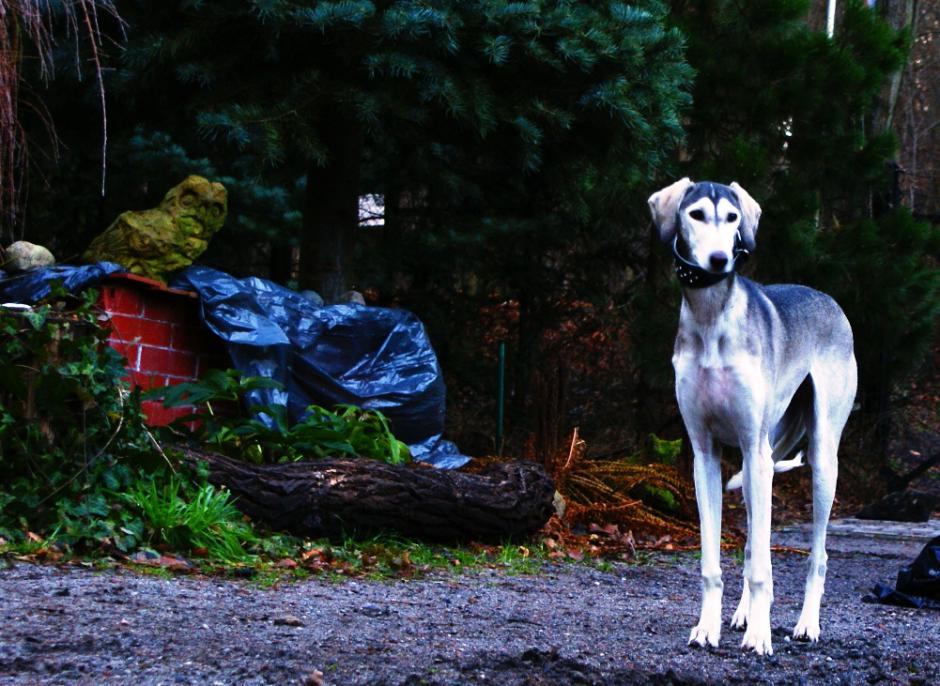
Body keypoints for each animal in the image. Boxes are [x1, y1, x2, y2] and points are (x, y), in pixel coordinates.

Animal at [648, 177, 860, 656]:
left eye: (732, 218)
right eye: (696, 215)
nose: (719, 259)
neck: (712, 316)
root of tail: (830, 300)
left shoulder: (755, 448)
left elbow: (764, 566)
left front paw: (762, 636)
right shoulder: (706, 455)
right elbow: (715, 562)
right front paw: (707, 628)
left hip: (818, 459)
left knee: (817, 556)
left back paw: (806, 624)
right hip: (753, 466)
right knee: (750, 547)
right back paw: (744, 614)